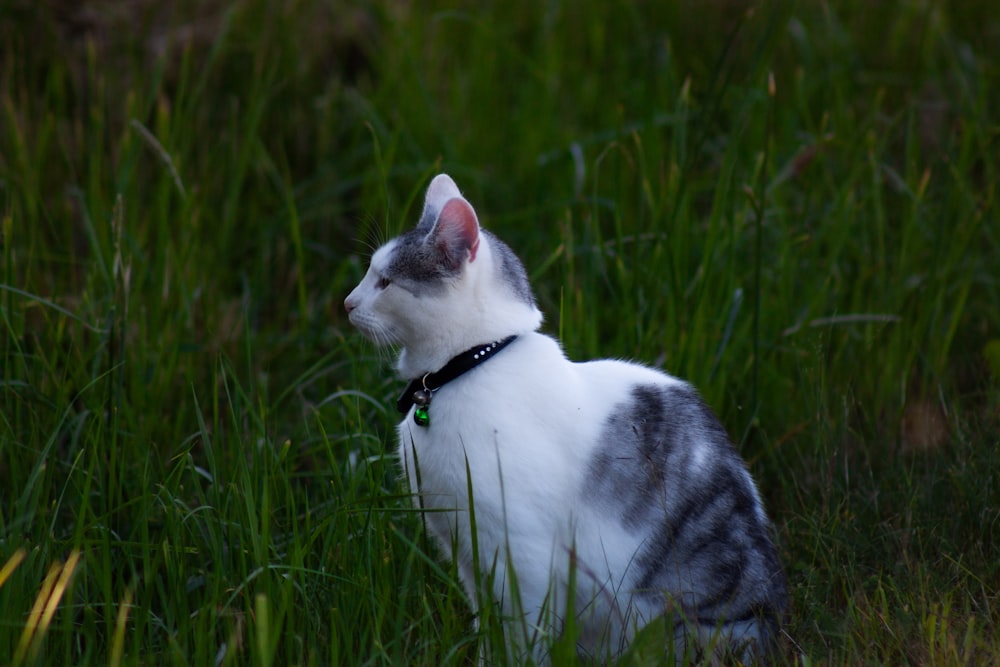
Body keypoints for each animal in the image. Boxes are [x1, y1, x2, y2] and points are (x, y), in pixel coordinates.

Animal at [344, 172, 788, 664]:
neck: (471, 364)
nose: (346, 303)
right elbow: (487, 625)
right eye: (371, 273)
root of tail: (774, 628)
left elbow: (521, 635)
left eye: (386, 281)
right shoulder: (466, 552)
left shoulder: (521, 552)